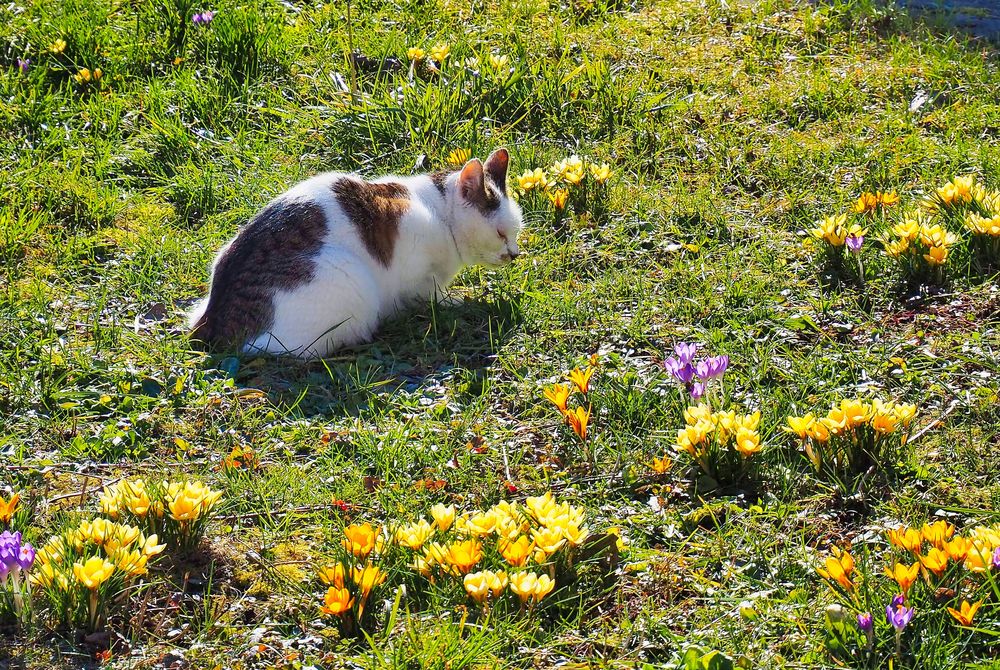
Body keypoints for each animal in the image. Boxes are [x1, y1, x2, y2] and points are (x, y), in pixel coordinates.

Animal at [187, 150, 524, 360]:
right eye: (501, 233)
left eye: (516, 232)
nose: (514, 254)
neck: (439, 210)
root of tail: (212, 322)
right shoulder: (418, 274)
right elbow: (432, 294)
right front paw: (455, 301)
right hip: (349, 283)